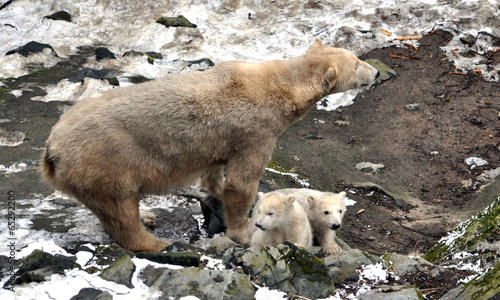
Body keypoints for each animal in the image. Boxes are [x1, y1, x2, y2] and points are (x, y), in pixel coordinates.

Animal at [40, 38, 378, 252]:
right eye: (357, 63)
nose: (375, 72)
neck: (280, 87)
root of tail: (51, 152)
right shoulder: (257, 129)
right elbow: (242, 182)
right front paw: (243, 227)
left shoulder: (220, 137)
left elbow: (215, 172)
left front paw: (217, 190)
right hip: (107, 160)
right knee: (120, 207)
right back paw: (154, 240)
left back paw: (146, 215)